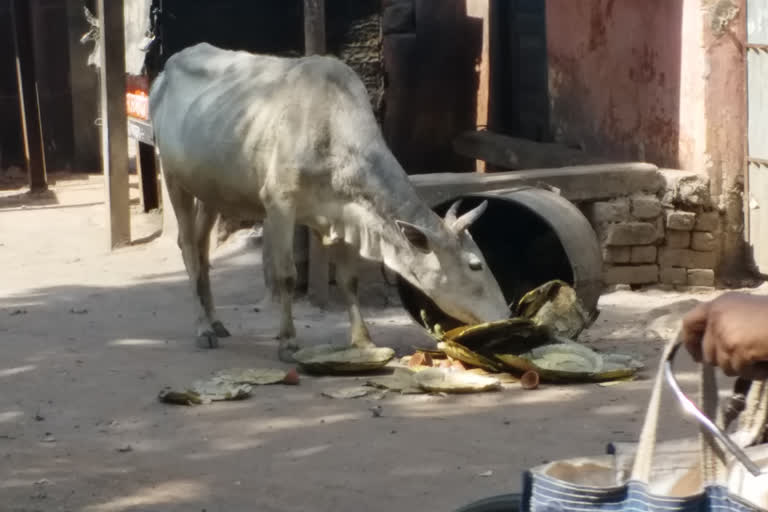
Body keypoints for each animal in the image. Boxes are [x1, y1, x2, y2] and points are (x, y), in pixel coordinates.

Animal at [150, 44, 510, 362]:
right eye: (474, 265)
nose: (504, 315)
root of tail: (164, 72)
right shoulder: (279, 204)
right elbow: (286, 275)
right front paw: (288, 341)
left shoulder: (345, 213)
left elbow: (349, 279)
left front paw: (363, 340)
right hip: (172, 176)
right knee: (187, 246)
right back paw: (203, 328)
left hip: (211, 189)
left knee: (201, 248)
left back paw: (216, 321)